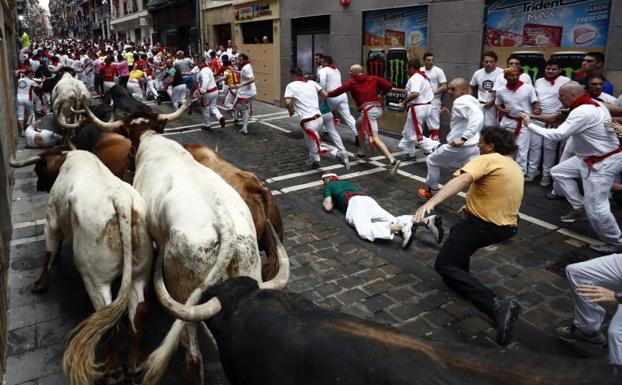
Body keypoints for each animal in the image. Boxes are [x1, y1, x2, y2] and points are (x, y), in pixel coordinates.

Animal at [9, 149, 152, 384]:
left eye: (39, 169)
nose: (38, 185)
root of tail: (121, 201)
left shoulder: (51, 219)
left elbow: (49, 252)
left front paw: (40, 284)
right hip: (139, 274)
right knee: (137, 314)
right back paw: (135, 364)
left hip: (95, 280)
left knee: (106, 317)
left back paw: (114, 369)